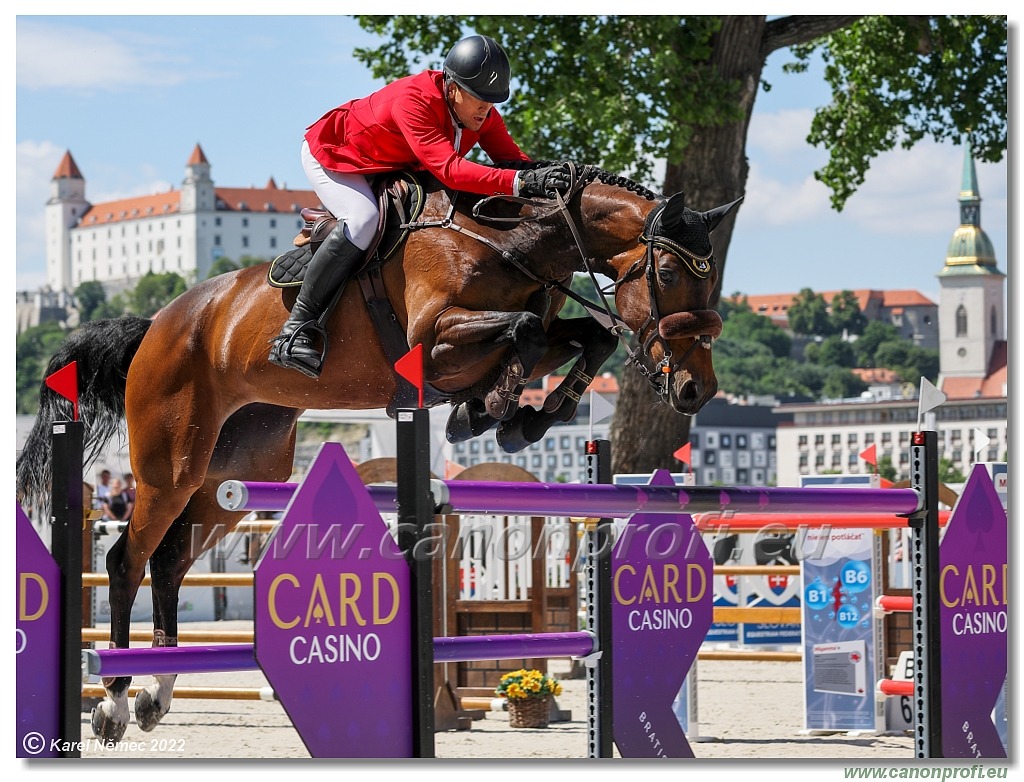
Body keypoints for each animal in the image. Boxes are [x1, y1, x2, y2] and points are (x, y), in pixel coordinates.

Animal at [14, 161, 737, 741]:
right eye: (668, 272)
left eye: (710, 281)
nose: (698, 389)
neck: (511, 243)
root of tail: (157, 323)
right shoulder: (434, 337)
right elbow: (529, 330)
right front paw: (493, 410)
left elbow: (586, 336)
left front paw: (521, 418)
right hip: (170, 465)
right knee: (126, 559)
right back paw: (110, 703)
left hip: (234, 475)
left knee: (167, 563)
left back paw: (154, 696)